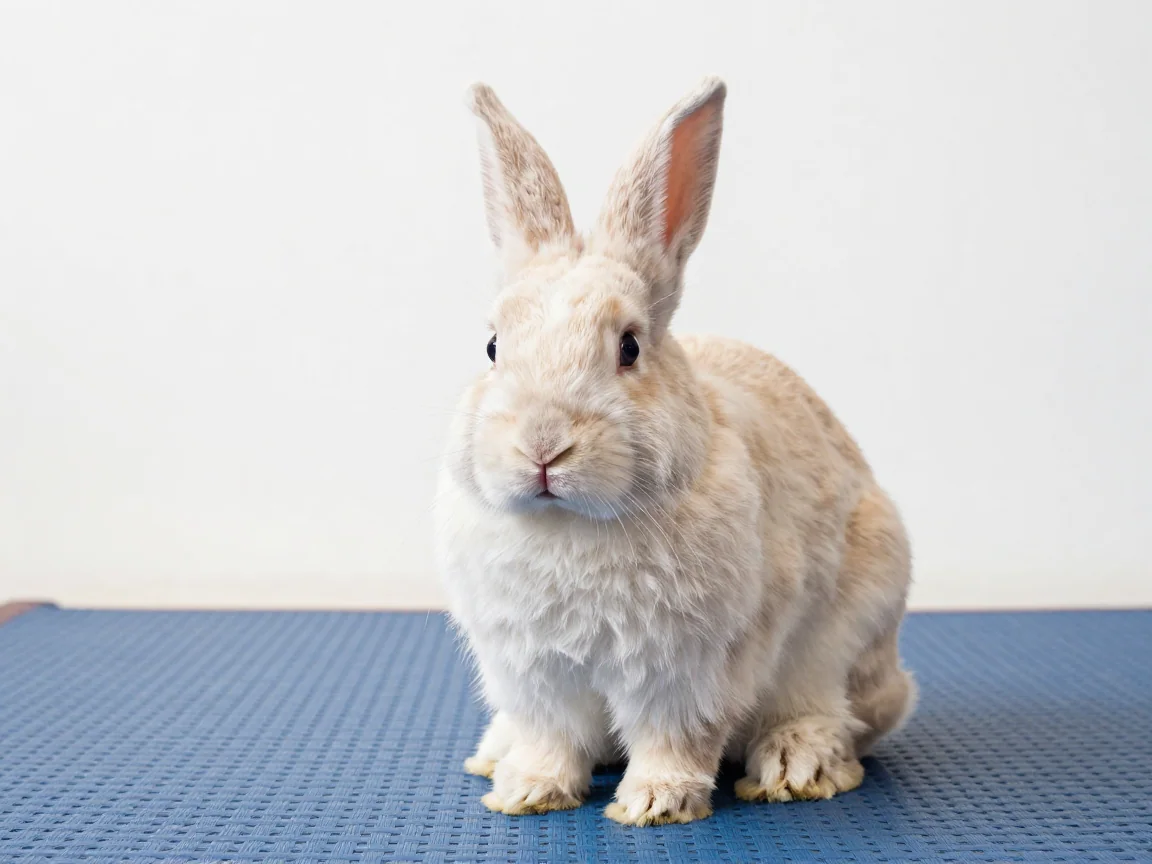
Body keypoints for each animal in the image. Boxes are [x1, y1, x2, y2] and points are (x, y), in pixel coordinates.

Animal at [435, 77, 915, 826]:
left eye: (629, 347)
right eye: (491, 348)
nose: (543, 445)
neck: (571, 528)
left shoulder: (689, 671)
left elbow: (675, 738)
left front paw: (657, 803)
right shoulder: (535, 673)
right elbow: (551, 737)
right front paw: (528, 791)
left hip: (851, 630)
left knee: (840, 713)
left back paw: (795, 765)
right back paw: (496, 753)